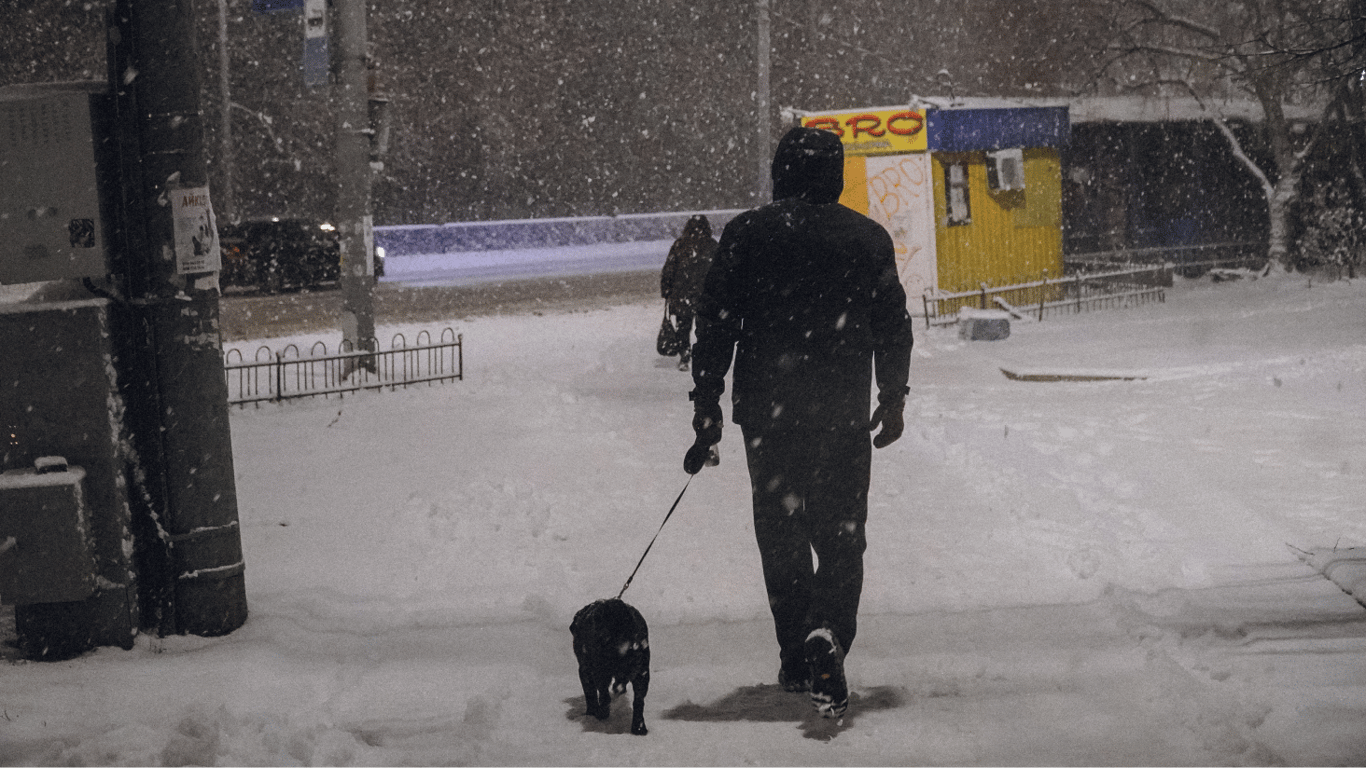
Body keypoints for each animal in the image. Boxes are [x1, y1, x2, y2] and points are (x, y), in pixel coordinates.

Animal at [568, 595, 647, 732]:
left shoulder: (585, 671)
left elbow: (590, 695)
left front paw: (590, 713)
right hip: (642, 673)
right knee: (639, 701)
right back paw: (639, 728)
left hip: (600, 672)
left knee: (605, 697)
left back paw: (601, 715)